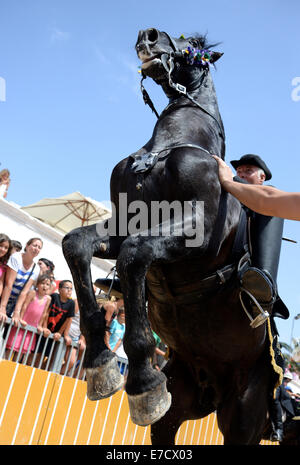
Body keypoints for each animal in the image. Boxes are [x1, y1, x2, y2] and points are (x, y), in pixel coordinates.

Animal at [63, 28, 282, 442]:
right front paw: (100, 363)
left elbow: (135, 254)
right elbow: (76, 244)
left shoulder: (197, 229)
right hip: (176, 407)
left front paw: (141, 377)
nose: (148, 37)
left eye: (194, 49)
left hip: (243, 419)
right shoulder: (124, 223)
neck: (166, 148)